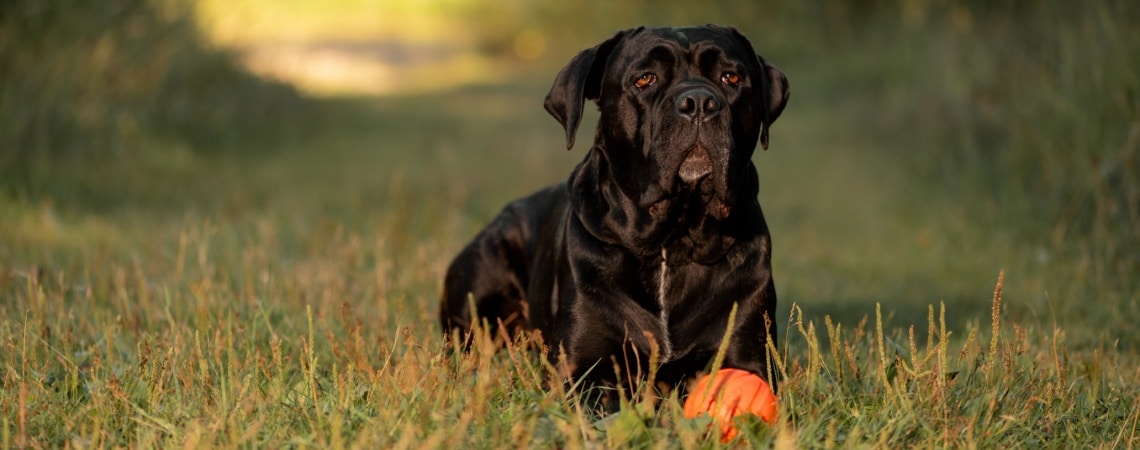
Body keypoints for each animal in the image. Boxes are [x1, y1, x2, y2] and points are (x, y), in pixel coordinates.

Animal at [440, 24, 788, 405]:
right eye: (644, 79)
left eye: (731, 77)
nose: (699, 102)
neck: (672, 241)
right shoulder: (582, 366)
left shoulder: (746, 352)